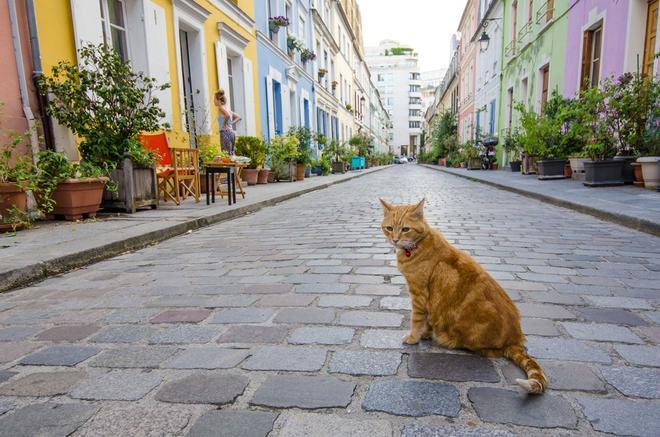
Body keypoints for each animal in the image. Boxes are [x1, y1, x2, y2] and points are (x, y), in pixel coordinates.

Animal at [378, 196, 548, 394]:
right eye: (389, 228)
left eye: (405, 229)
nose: (395, 240)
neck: (419, 244)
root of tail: (515, 338)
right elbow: (426, 320)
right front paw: (424, 333)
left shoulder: (419, 294)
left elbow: (417, 320)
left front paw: (413, 338)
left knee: (491, 351)